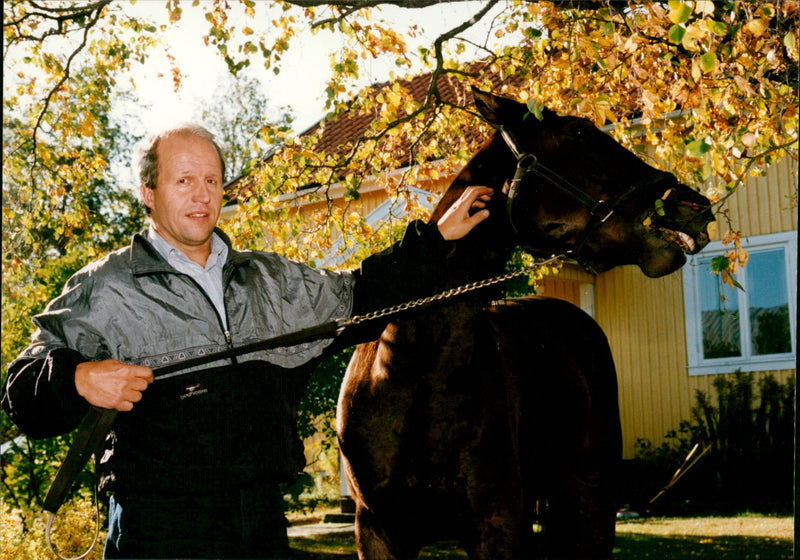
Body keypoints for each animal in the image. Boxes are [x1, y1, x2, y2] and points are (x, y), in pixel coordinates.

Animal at [334, 88, 716, 560]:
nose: (693, 206)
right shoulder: (378, 531)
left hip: (591, 501)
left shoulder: (498, 525)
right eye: (579, 132)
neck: (414, 370)